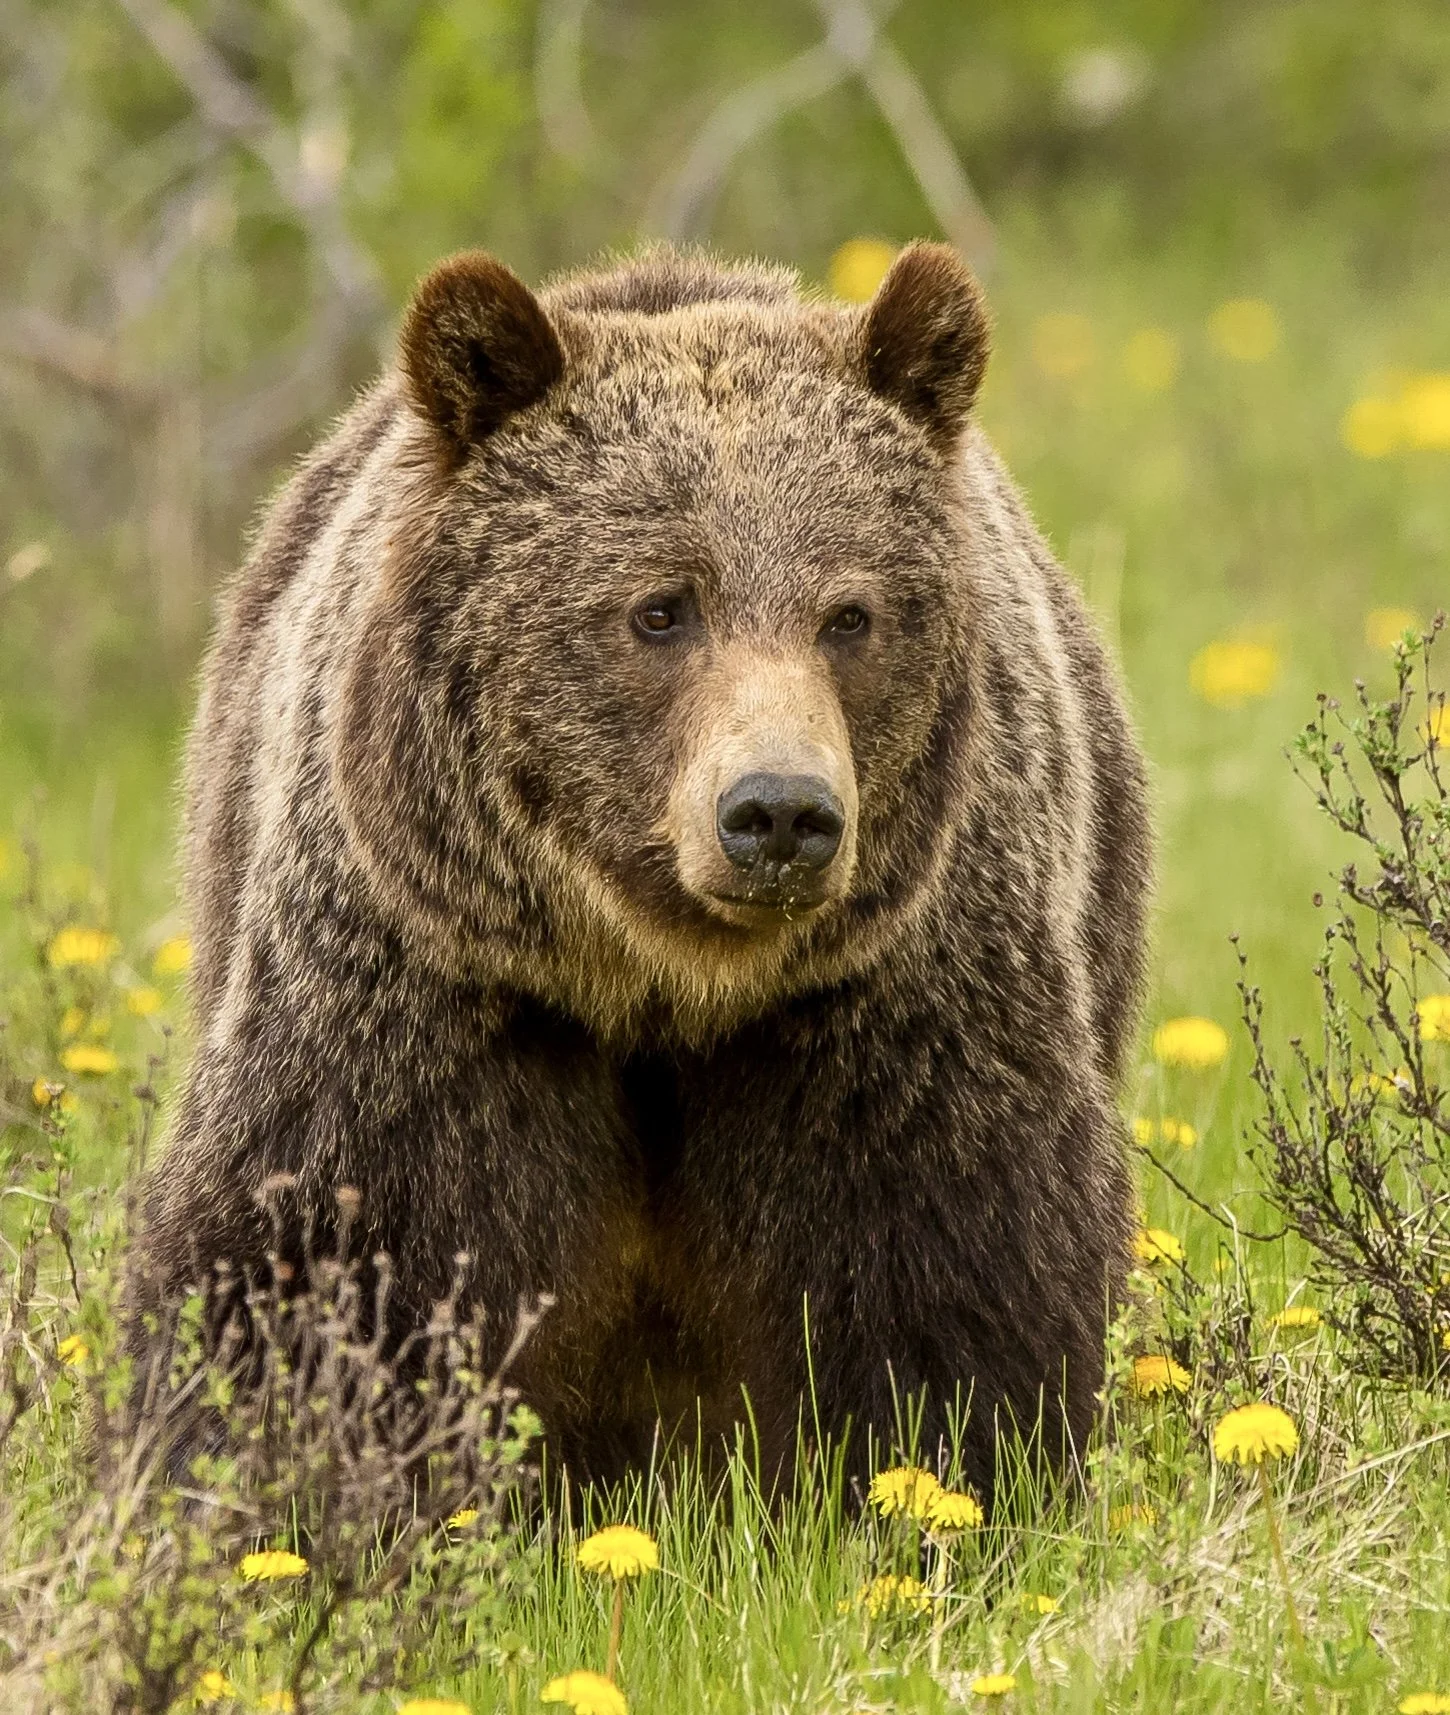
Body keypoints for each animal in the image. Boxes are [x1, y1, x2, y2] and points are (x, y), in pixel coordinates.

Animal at [133, 241, 1150, 1504]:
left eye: (849, 613)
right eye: (661, 608)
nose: (778, 813)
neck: (659, 981)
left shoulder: (893, 995)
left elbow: (952, 1264)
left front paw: (945, 1480)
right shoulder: (427, 977)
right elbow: (316, 1250)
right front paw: (270, 1476)